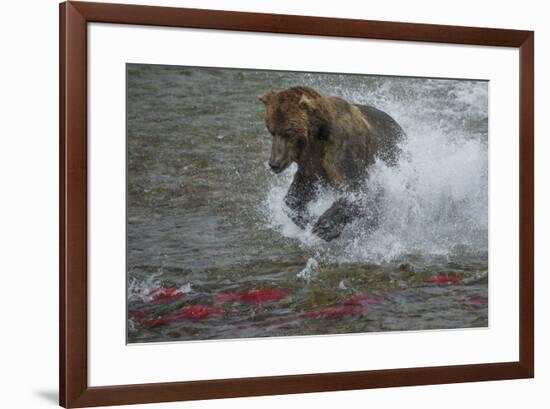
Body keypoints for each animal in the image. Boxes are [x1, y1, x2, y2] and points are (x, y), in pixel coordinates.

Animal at [258, 85, 406, 241]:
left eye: (288, 132)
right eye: (271, 130)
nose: (274, 163)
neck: (315, 137)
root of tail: (399, 126)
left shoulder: (340, 151)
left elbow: (356, 188)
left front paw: (324, 227)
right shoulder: (309, 164)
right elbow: (295, 196)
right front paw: (306, 219)